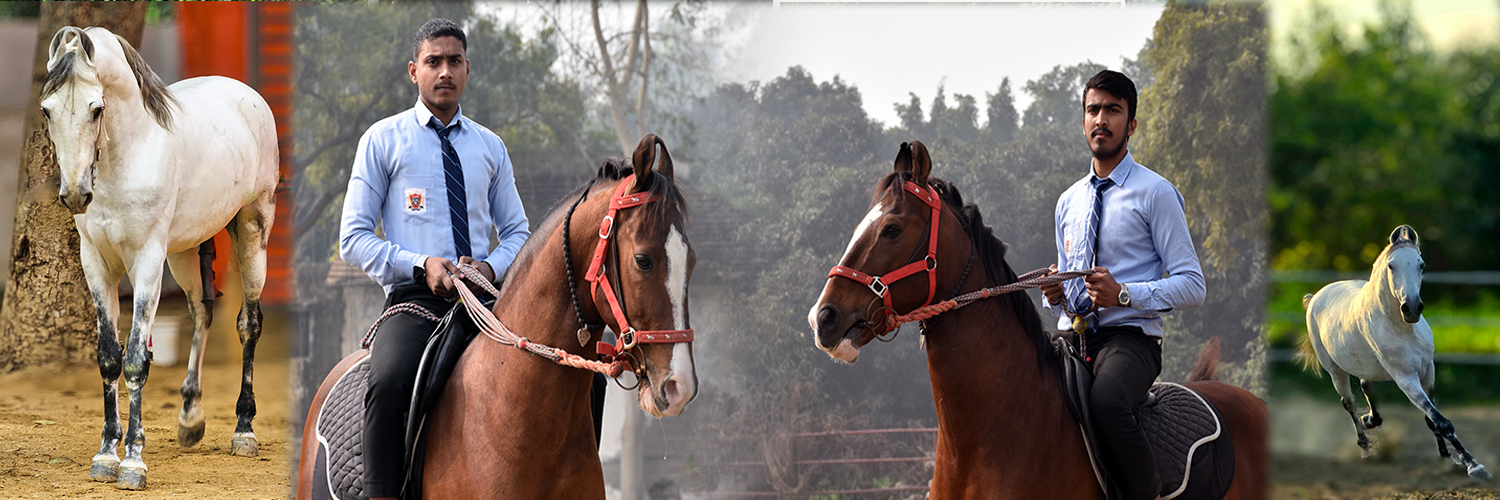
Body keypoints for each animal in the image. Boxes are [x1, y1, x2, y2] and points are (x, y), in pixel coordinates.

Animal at [38, 27, 279, 490]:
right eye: (46, 111)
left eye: (97, 109)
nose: (75, 195)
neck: (126, 157)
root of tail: (245, 94)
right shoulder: (97, 263)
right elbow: (110, 357)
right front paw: (106, 455)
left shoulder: (147, 259)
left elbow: (135, 360)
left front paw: (133, 462)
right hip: (183, 253)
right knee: (202, 312)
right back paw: (190, 419)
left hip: (252, 229)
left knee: (249, 325)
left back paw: (244, 430)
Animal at [1299, 225, 1490, 478]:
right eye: (1391, 266)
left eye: (1421, 264)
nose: (1412, 308)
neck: (1402, 329)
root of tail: (1315, 297)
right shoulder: (1406, 379)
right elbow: (1441, 421)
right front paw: (1473, 465)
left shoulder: (1428, 372)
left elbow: (1432, 419)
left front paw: (1448, 458)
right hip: (1335, 371)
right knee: (1348, 402)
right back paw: (1366, 447)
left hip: (1365, 367)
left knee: (1366, 387)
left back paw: (1370, 420)